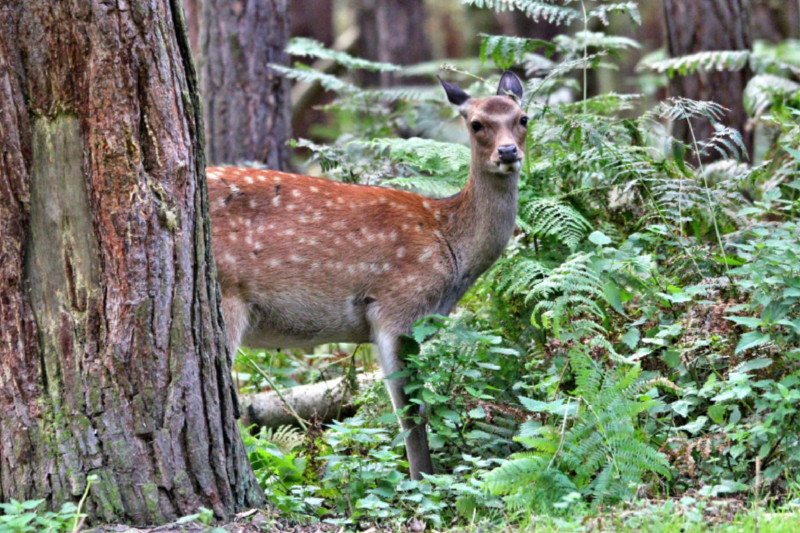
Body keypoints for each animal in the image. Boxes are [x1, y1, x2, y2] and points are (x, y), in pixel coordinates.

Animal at [209, 71, 528, 478]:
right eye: (476, 124)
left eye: (522, 118)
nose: (507, 152)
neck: (449, 244)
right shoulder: (397, 308)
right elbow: (410, 413)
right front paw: (423, 480)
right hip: (227, 294)